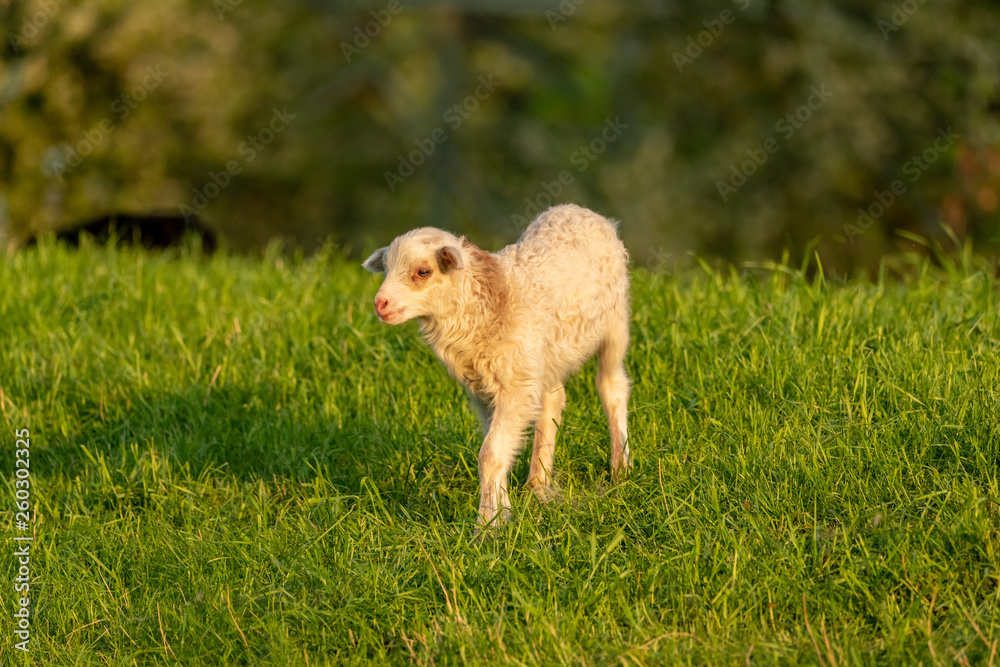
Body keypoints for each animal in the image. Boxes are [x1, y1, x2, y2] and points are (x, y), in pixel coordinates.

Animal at [362, 203, 631, 527]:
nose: (380, 304)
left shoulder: (514, 388)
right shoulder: (485, 390)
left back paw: (619, 469)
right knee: (552, 402)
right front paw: (502, 512)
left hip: (615, 322)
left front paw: (487, 526)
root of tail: (579, 210)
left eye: (423, 272)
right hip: (544, 356)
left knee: (611, 385)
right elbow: (496, 452)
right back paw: (537, 485)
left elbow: (489, 455)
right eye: (386, 269)